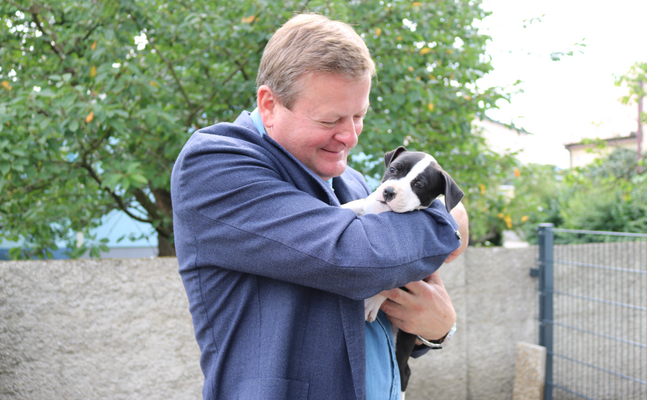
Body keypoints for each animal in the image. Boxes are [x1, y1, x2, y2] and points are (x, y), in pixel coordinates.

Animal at [342, 146, 464, 394]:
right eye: (393, 169)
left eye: (419, 185)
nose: (389, 192)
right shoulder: (370, 204)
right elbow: (360, 203)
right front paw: (340, 207)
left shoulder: (419, 267)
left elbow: (393, 279)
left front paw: (372, 302)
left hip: (405, 337)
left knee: (403, 372)